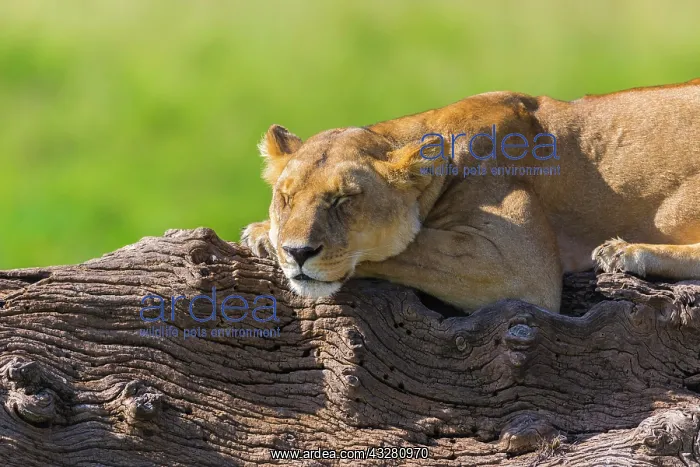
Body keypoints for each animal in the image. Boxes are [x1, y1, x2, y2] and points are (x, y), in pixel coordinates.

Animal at [242, 79, 700, 313]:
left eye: (343, 199)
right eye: (285, 198)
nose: (298, 252)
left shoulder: (519, 263)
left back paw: (627, 252)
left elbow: (409, 248)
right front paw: (264, 233)